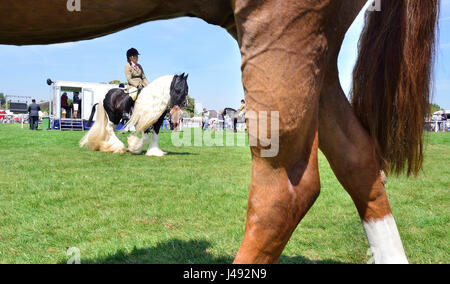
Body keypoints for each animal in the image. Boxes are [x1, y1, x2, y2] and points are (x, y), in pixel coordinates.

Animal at [1, 0, 440, 264]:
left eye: (183, 91)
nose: (182, 113)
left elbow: (149, 133)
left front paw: (147, 151)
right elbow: (143, 131)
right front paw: (141, 148)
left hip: (284, 31)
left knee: (284, 193)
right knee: (357, 160)